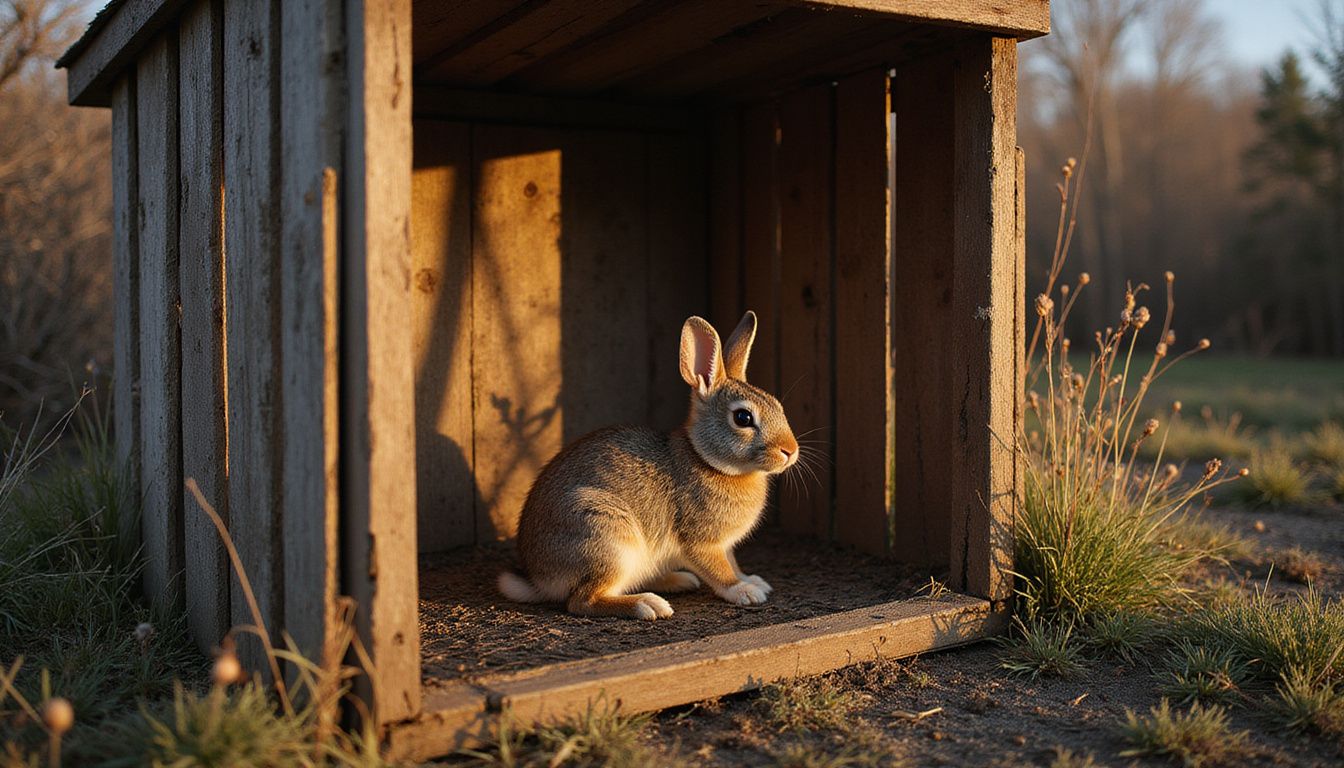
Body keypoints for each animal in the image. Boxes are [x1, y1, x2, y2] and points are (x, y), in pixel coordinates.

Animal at [496, 310, 800, 620]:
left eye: (777, 405)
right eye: (742, 418)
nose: (790, 451)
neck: (707, 460)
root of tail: (538, 578)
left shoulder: (725, 546)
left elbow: (733, 563)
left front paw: (753, 580)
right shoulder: (701, 542)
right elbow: (720, 571)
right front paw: (745, 591)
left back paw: (678, 581)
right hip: (607, 538)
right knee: (582, 601)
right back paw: (648, 605)